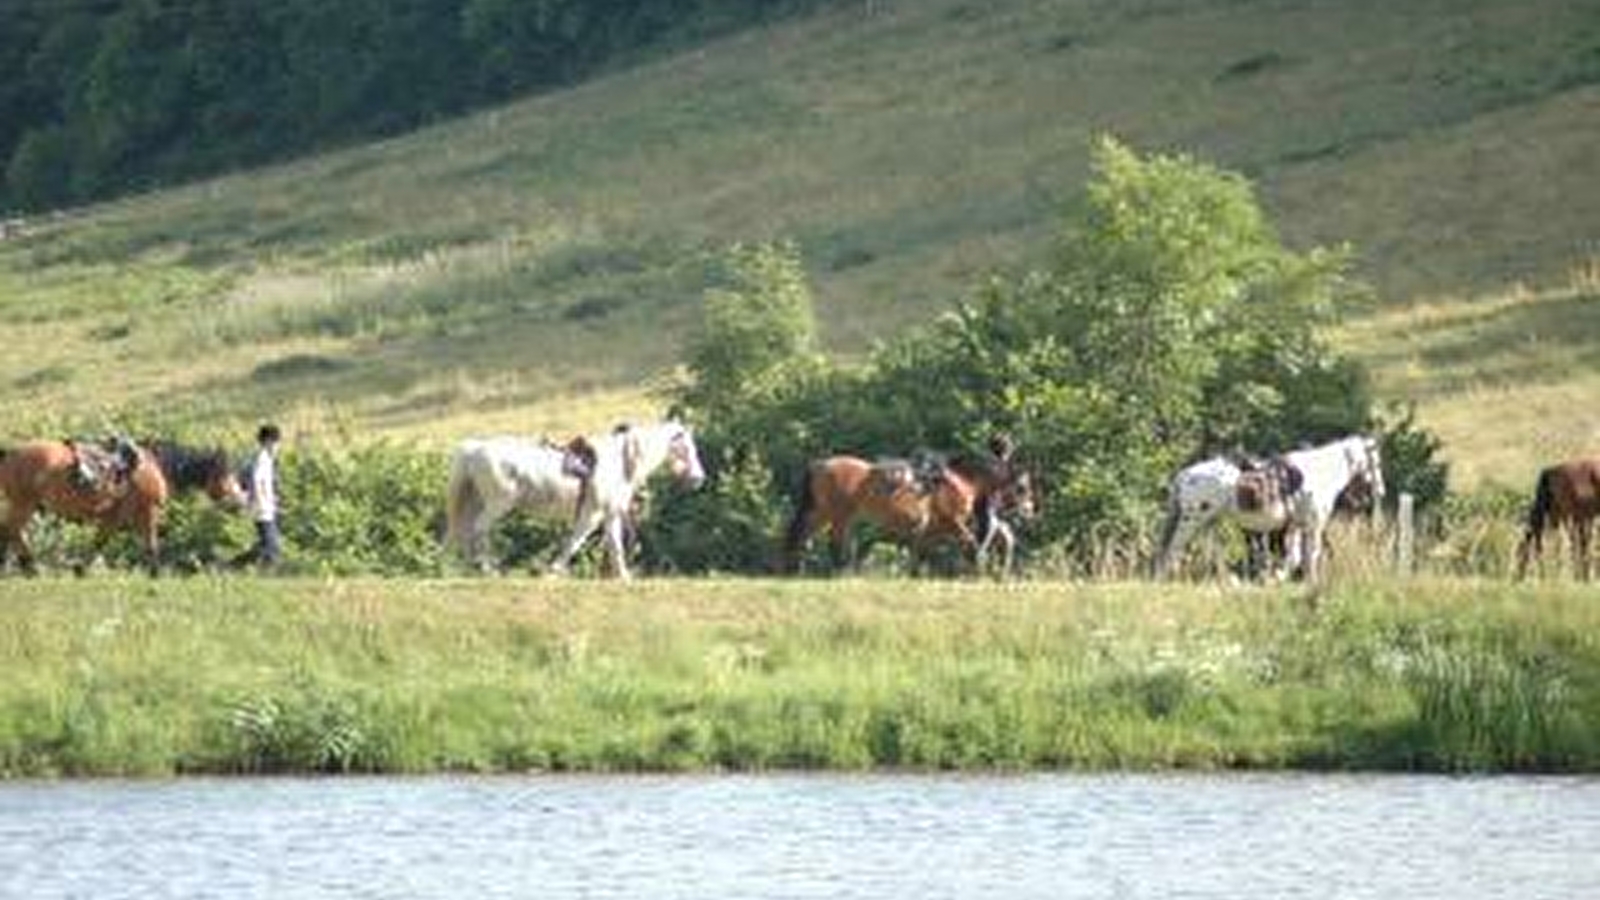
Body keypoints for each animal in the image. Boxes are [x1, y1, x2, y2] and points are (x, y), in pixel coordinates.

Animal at [0, 435, 246, 573]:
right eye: (225, 473)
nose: (238, 504)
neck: (154, 466)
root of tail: (10, 453)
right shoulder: (147, 513)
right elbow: (151, 545)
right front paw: (156, 572)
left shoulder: (112, 519)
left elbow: (99, 543)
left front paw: (81, 569)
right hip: (24, 504)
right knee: (12, 531)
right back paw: (30, 565)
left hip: (25, 505)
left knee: (10, 531)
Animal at [448, 416, 704, 573]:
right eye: (687, 448)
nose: (699, 478)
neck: (620, 461)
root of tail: (474, 450)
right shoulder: (593, 514)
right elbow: (576, 540)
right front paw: (554, 570)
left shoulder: (610, 515)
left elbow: (615, 546)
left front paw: (624, 577)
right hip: (498, 504)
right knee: (479, 530)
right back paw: (487, 568)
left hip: (477, 502)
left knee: (468, 532)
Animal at [1152, 435, 1388, 582]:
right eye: (1375, 461)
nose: (1381, 491)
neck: (1320, 472)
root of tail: (1185, 475)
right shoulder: (1313, 525)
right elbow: (1311, 554)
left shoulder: (1295, 526)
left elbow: (1295, 557)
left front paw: (1281, 577)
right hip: (1191, 520)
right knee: (1173, 549)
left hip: (1210, 521)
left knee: (1211, 552)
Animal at [1510, 454, 1600, 582]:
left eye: (1519, 553)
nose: (1518, 576)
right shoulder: (1577, 517)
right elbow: (1579, 545)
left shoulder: (1577, 517)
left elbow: (1577, 545)